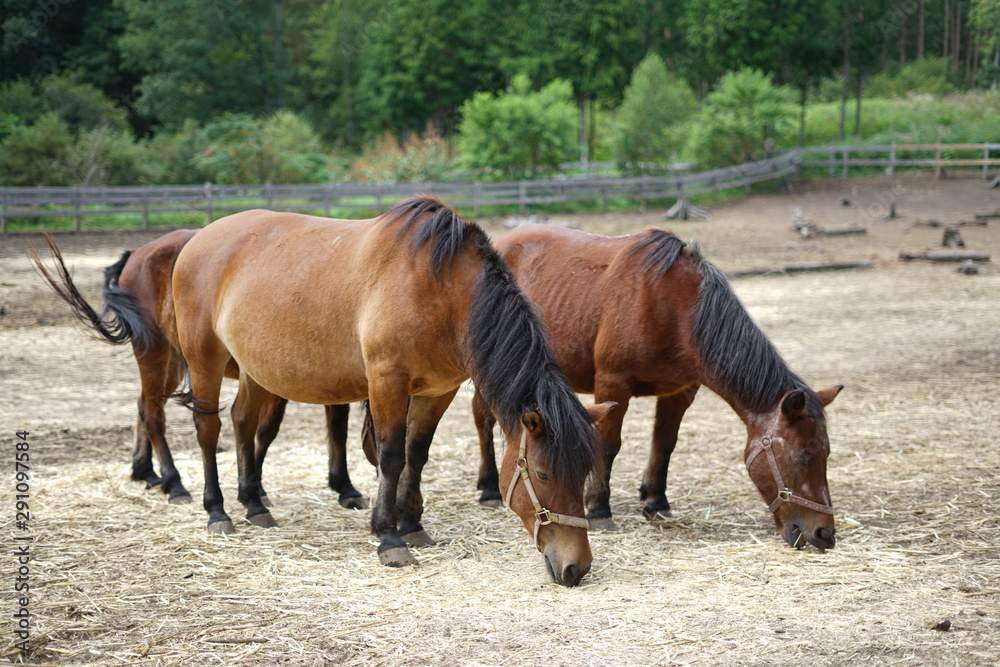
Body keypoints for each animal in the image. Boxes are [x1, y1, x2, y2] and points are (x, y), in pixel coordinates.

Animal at [168, 197, 612, 584]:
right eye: (543, 473)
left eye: (583, 472)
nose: (576, 567)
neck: (441, 291)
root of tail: (198, 239)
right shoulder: (387, 382)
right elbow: (392, 457)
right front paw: (389, 536)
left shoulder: (437, 392)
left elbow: (417, 454)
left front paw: (412, 523)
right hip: (205, 359)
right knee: (208, 431)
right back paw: (217, 511)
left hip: (253, 369)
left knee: (242, 422)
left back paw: (254, 504)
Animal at [472, 227, 840, 552]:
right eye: (800, 456)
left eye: (826, 454)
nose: (824, 533)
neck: (675, 307)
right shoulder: (613, 383)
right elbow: (608, 447)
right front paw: (599, 507)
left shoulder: (680, 392)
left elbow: (664, 445)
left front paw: (656, 501)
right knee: (482, 419)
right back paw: (489, 488)